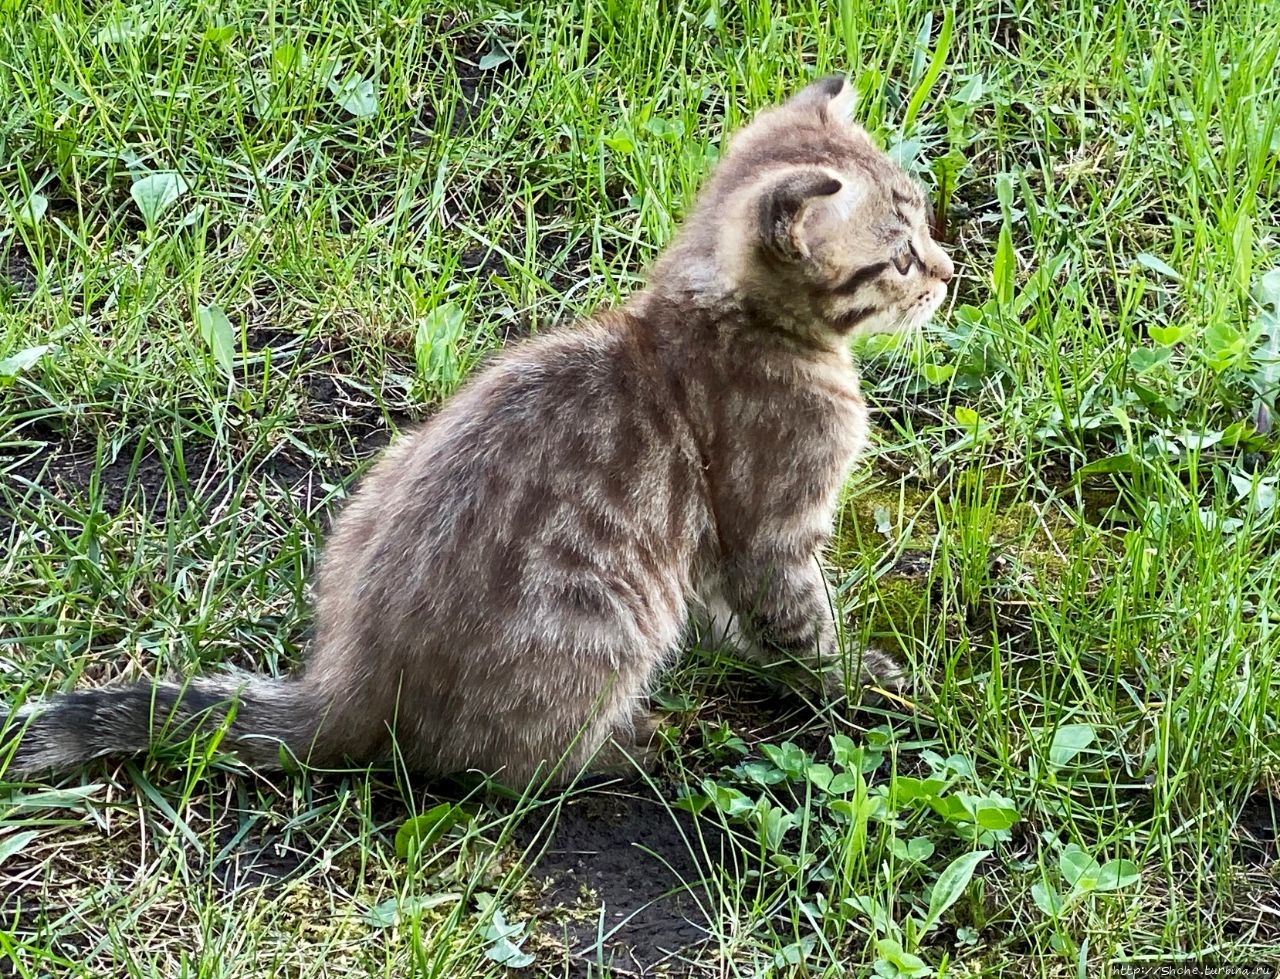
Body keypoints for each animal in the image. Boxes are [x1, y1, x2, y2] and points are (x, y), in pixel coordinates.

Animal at [2, 80, 952, 788]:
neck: (728, 319)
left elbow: (732, 614)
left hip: (384, 476)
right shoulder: (770, 525)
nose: (950, 271)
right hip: (603, 618)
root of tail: (346, 681)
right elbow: (800, 623)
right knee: (507, 769)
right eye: (901, 254)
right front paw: (847, 682)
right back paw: (631, 746)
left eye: (929, 224)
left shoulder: (717, 547)